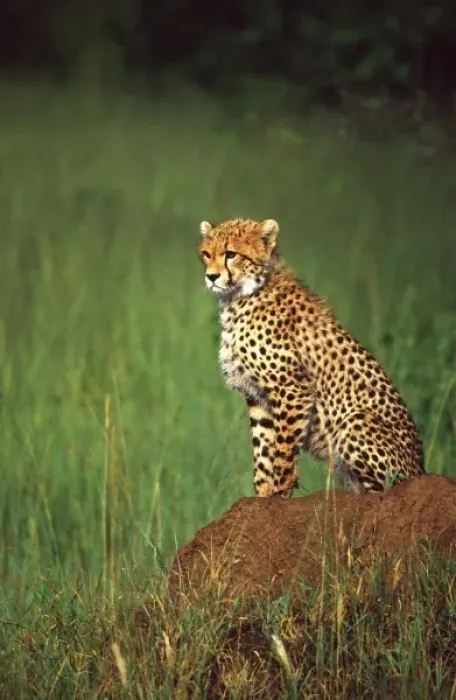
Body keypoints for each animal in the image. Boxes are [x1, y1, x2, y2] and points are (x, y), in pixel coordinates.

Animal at [197, 217, 425, 498]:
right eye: (206, 255)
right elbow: (263, 454)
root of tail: (422, 470)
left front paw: (279, 495)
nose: (211, 276)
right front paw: (263, 496)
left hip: (354, 424)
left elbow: (283, 452)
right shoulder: (258, 397)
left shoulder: (293, 389)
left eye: (231, 254)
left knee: (382, 490)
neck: (240, 296)